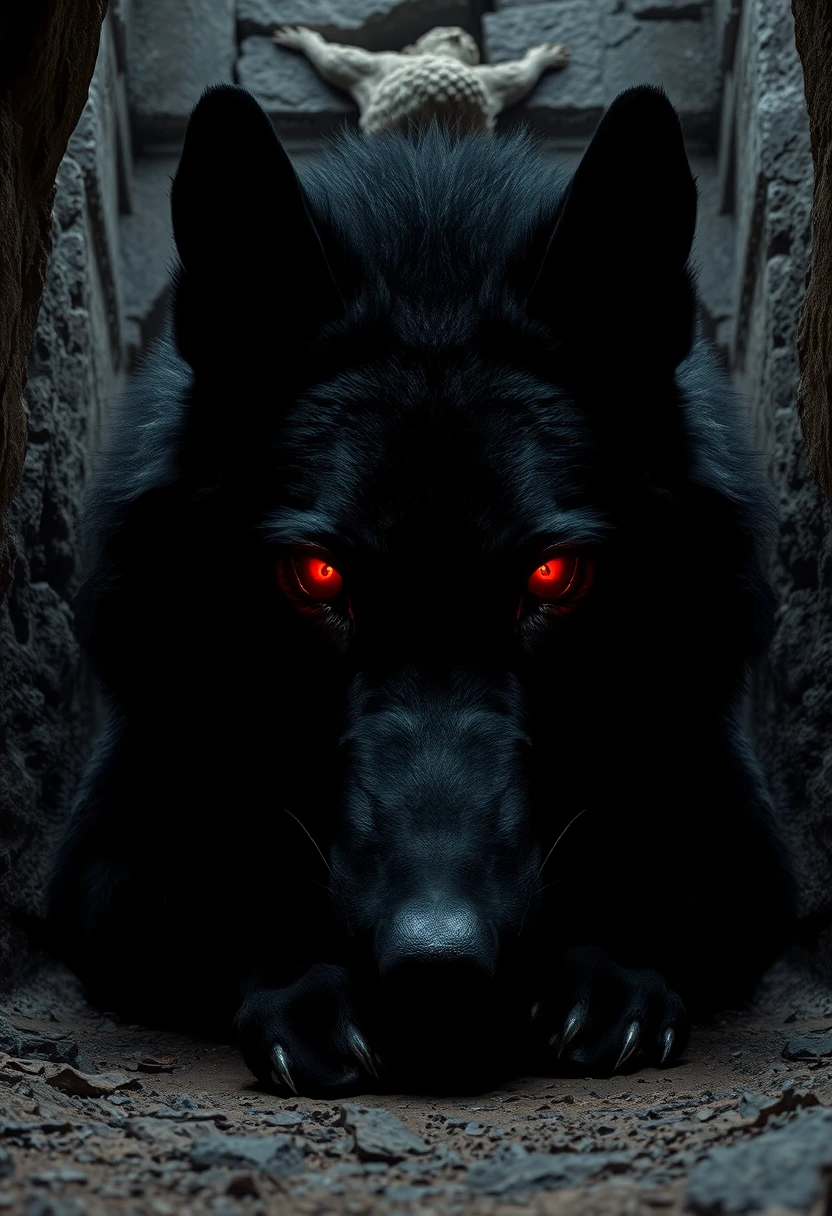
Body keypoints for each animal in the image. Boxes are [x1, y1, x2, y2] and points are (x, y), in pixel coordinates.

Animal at [49, 83, 794, 1096]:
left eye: (554, 576)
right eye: (316, 575)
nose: (438, 962)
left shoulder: (738, 833)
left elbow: (666, 871)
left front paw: (607, 975)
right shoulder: (113, 851)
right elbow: (221, 881)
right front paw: (308, 989)